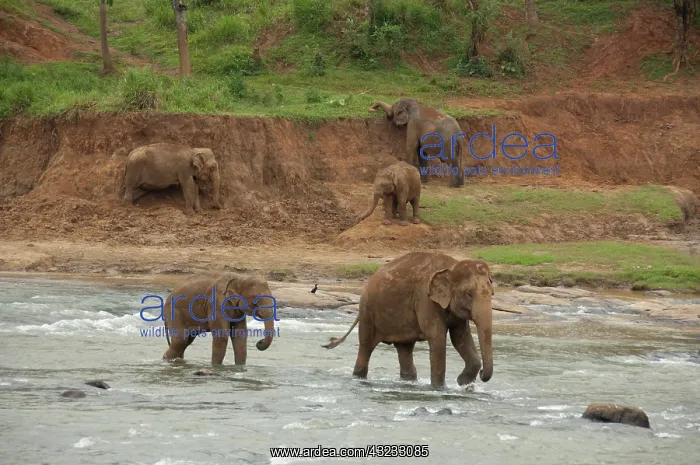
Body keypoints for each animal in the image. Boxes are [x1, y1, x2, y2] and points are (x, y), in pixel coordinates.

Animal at [323, 251, 494, 389]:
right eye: (469, 294)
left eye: (492, 293)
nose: (482, 373)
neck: (451, 266)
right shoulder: (425, 299)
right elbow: (437, 337)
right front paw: (440, 389)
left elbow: (460, 337)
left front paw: (463, 383)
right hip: (368, 312)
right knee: (365, 347)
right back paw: (359, 378)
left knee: (404, 349)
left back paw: (408, 382)